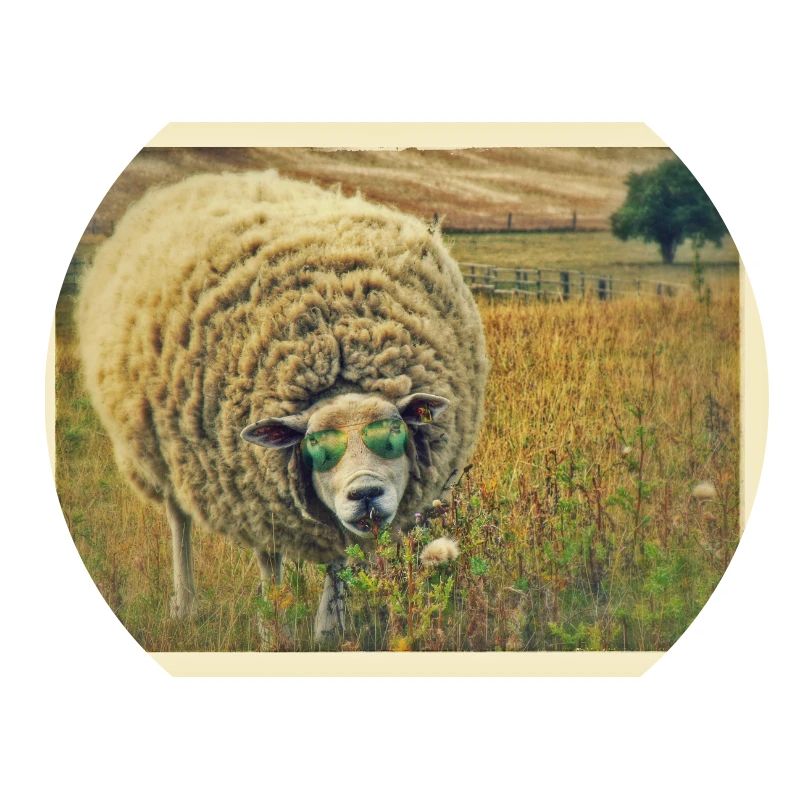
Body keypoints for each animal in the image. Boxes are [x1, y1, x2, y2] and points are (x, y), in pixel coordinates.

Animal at [77, 169, 489, 641]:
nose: (365, 493)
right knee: (178, 520)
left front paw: (329, 631)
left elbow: (339, 558)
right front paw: (272, 631)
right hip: (163, 453)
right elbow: (270, 564)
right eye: (316, 447)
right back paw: (185, 604)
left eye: (394, 436)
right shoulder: (253, 494)